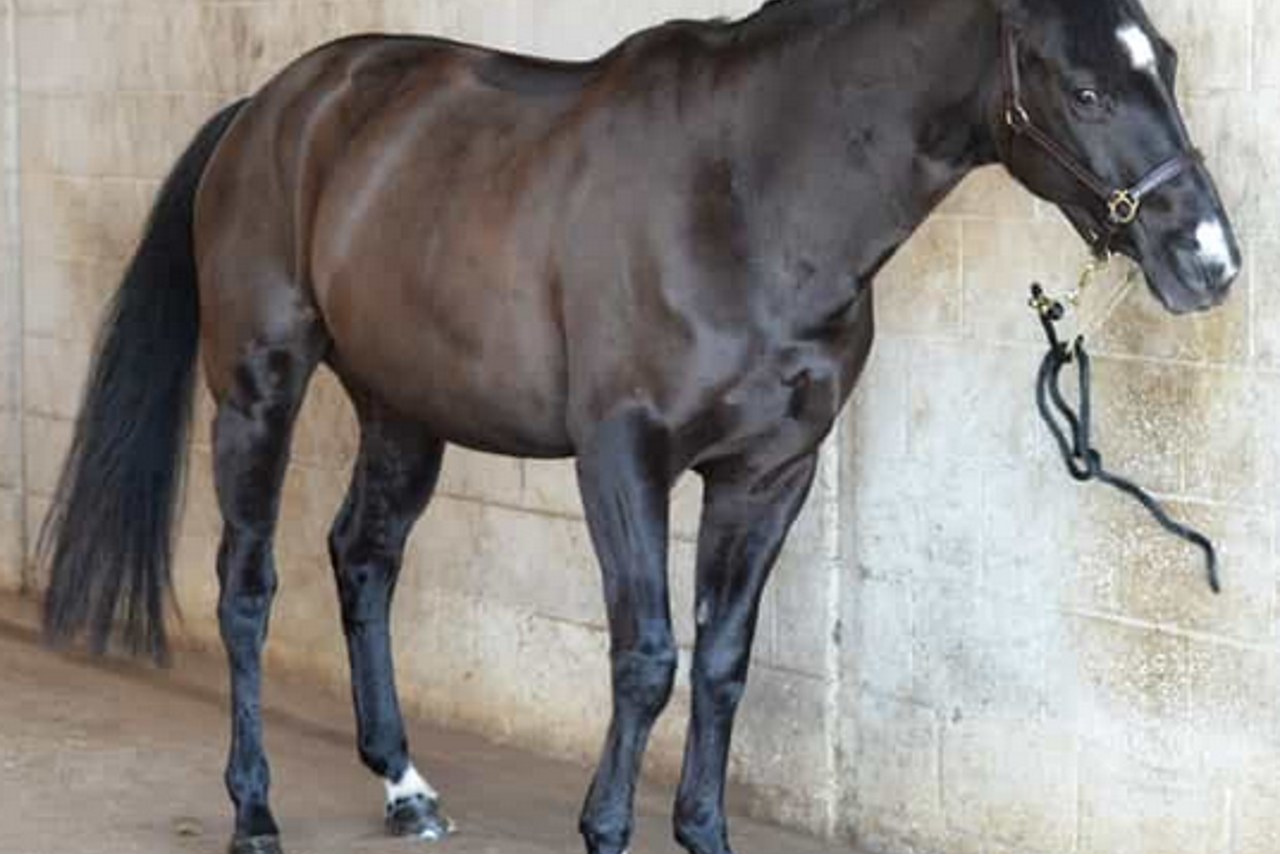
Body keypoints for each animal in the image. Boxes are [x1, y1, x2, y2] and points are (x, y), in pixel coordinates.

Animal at [39, 0, 1241, 852]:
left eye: (1169, 65)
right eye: (1084, 87)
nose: (1209, 261)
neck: (747, 196)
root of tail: (269, 108)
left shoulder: (771, 474)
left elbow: (722, 663)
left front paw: (701, 832)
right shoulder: (621, 460)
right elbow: (647, 656)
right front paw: (605, 827)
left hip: (403, 407)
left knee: (363, 558)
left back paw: (406, 787)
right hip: (258, 388)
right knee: (246, 587)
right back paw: (254, 811)